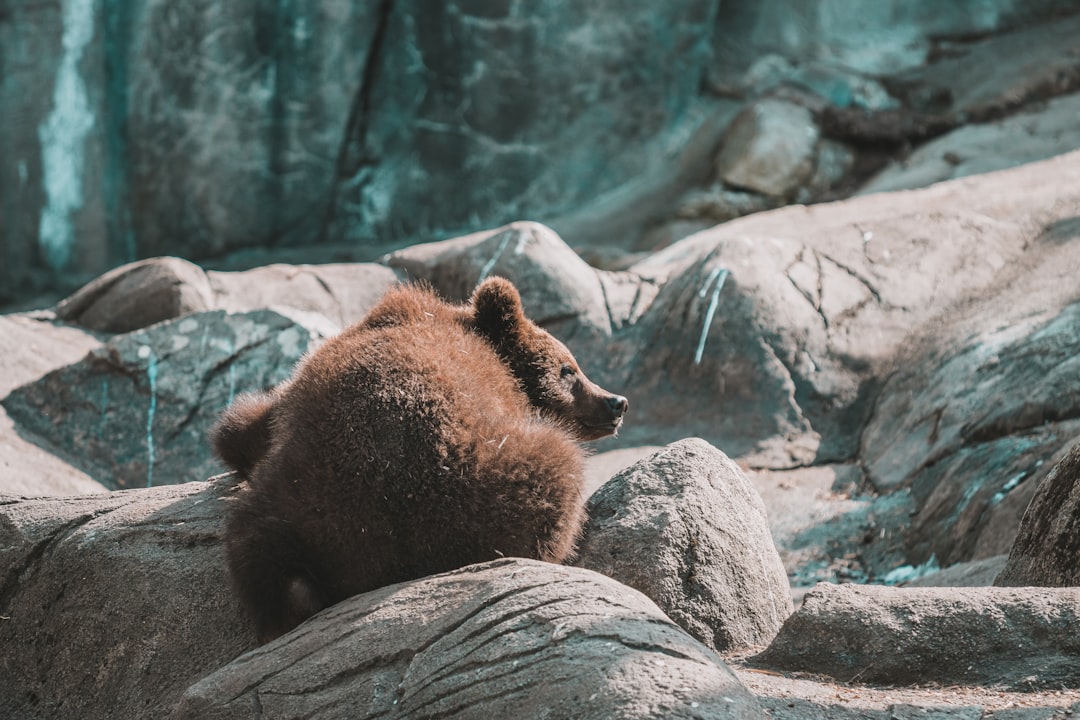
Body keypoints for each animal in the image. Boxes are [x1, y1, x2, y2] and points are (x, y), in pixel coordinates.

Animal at [211, 277, 628, 643]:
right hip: (482, 478)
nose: (616, 402)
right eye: (568, 369)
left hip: (290, 507)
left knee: (258, 552)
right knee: (558, 469)